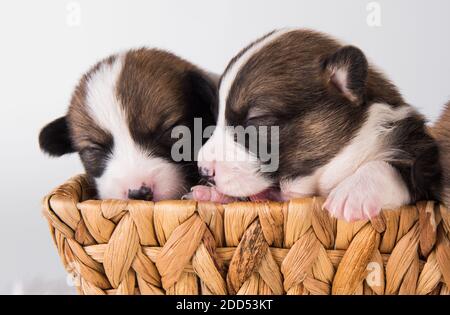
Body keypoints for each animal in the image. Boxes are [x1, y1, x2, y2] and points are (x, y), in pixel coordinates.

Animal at [192, 29, 442, 222]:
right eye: (215, 117)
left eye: (256, 120)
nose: (203, 170)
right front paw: (212, 195)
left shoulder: (420, 154)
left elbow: (388, 166)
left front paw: (353, 192)